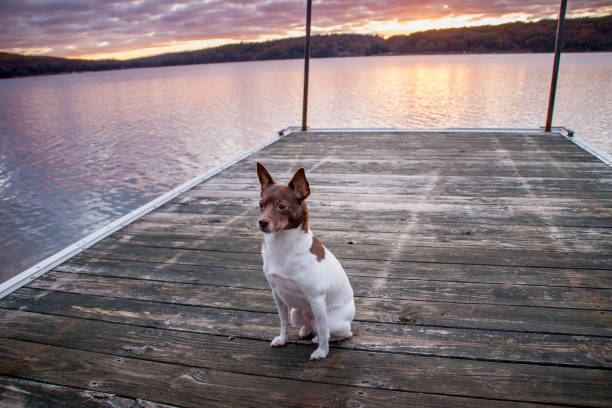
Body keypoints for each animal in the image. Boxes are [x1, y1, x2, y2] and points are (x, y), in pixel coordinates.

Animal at [256, 163, 354, 360]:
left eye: (282, 206)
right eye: (260, 204)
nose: (261, 222)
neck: (282, 246)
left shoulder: (316, 299)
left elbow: (323, 331)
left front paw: (322, 352)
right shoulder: (277, 295)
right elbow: (283, 321)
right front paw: (282, 340)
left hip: (333, 320)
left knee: (334, 332)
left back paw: (318, 340)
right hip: (297, 313)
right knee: (309, 326)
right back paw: (305, 330)